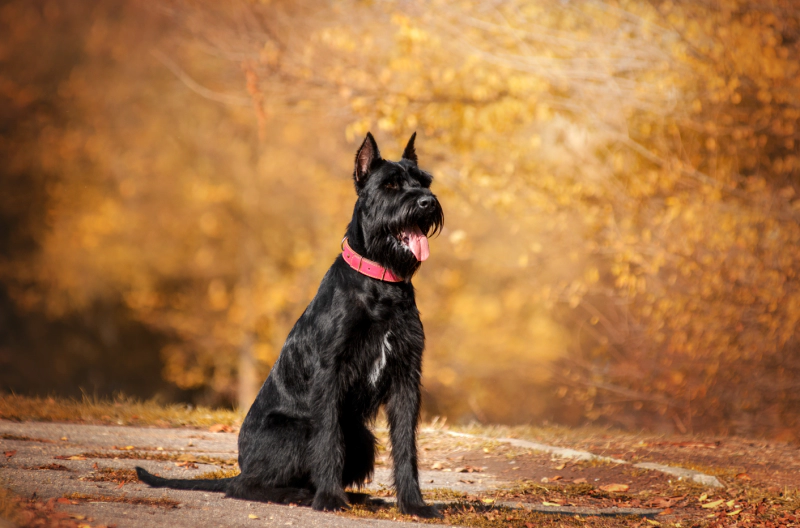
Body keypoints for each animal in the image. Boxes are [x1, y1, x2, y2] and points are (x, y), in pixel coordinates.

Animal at [137, 132, 444, 520]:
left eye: (424, 181)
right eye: (390, 184)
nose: (427, 202)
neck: (381, 282)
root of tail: (242, 464)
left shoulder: (406, 375)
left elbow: (406, 445)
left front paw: (414, 504)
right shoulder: (330, 374)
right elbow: (328, 441)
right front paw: (329, 500)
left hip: (360, 436)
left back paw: (358, 498)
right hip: (298, 432)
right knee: (246, 486)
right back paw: (303, 495)